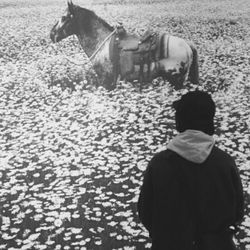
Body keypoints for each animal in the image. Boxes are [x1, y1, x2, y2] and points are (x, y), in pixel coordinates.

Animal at [50, 0, 199, 90]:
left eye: (64, 17)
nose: (51, 34)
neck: (101, 44)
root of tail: (187, 45)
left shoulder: (106, 81)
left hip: (177, 81)